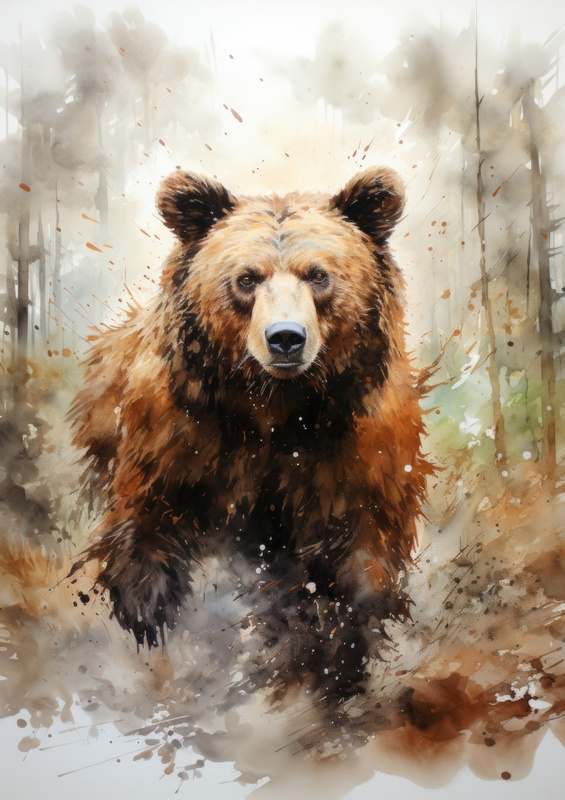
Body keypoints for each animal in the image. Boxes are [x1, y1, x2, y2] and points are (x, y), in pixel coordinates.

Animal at [70, 166, 431, 698]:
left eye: (318, 275)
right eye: (246, 278)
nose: (285, 338)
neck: (275, 410)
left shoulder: (355, 451)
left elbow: (360, 558)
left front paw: (342, 657)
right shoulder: (178, 439)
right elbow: (144, 529)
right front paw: (147, 615)